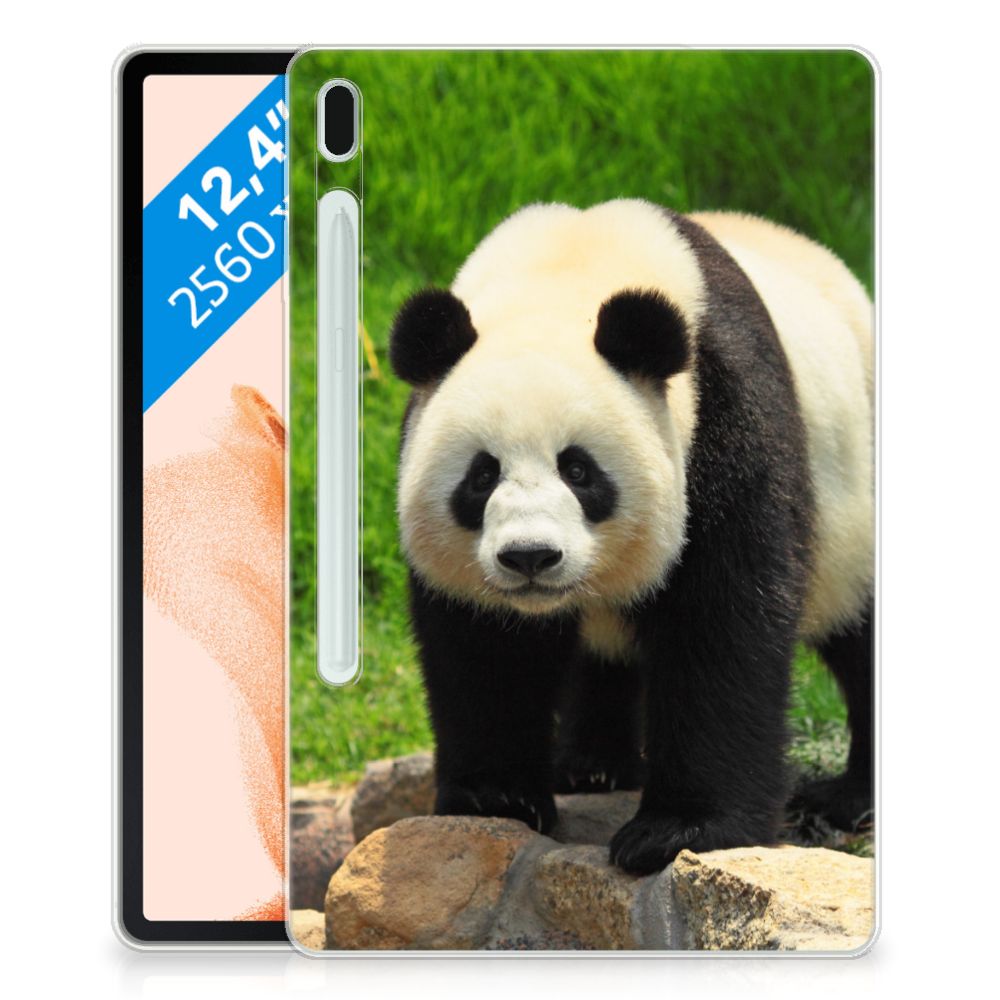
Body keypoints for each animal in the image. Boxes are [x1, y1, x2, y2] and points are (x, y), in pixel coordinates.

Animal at [387, 199, 873, 876]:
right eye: (482, 476)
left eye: (579, 470)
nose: (531, 557)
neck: (566, 271)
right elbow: (485, 646)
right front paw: (496, 798)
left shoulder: (724, 417)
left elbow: (721, 623)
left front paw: (677, 831)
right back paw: (592, 767)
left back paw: (847, 798)